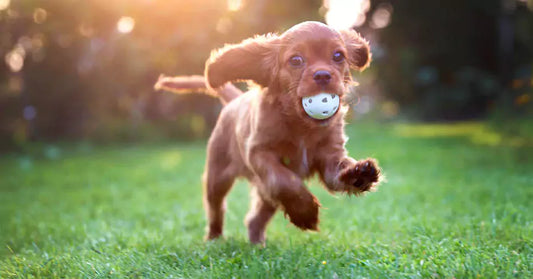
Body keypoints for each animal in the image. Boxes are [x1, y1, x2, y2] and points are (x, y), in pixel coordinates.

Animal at [156, 21, 380, 245]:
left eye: (338, 56)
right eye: (296, 60)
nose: (323, 75)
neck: (301, 126)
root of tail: (235, 100)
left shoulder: (329, 155)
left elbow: (337, 172)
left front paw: (359, 174)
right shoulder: (259, 153)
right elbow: (284, 180)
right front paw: (305, 212)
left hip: (263, 195)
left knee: (254, 219)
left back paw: (257, 244)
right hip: (217, 177)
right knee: (216, 208)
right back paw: (214, 238)